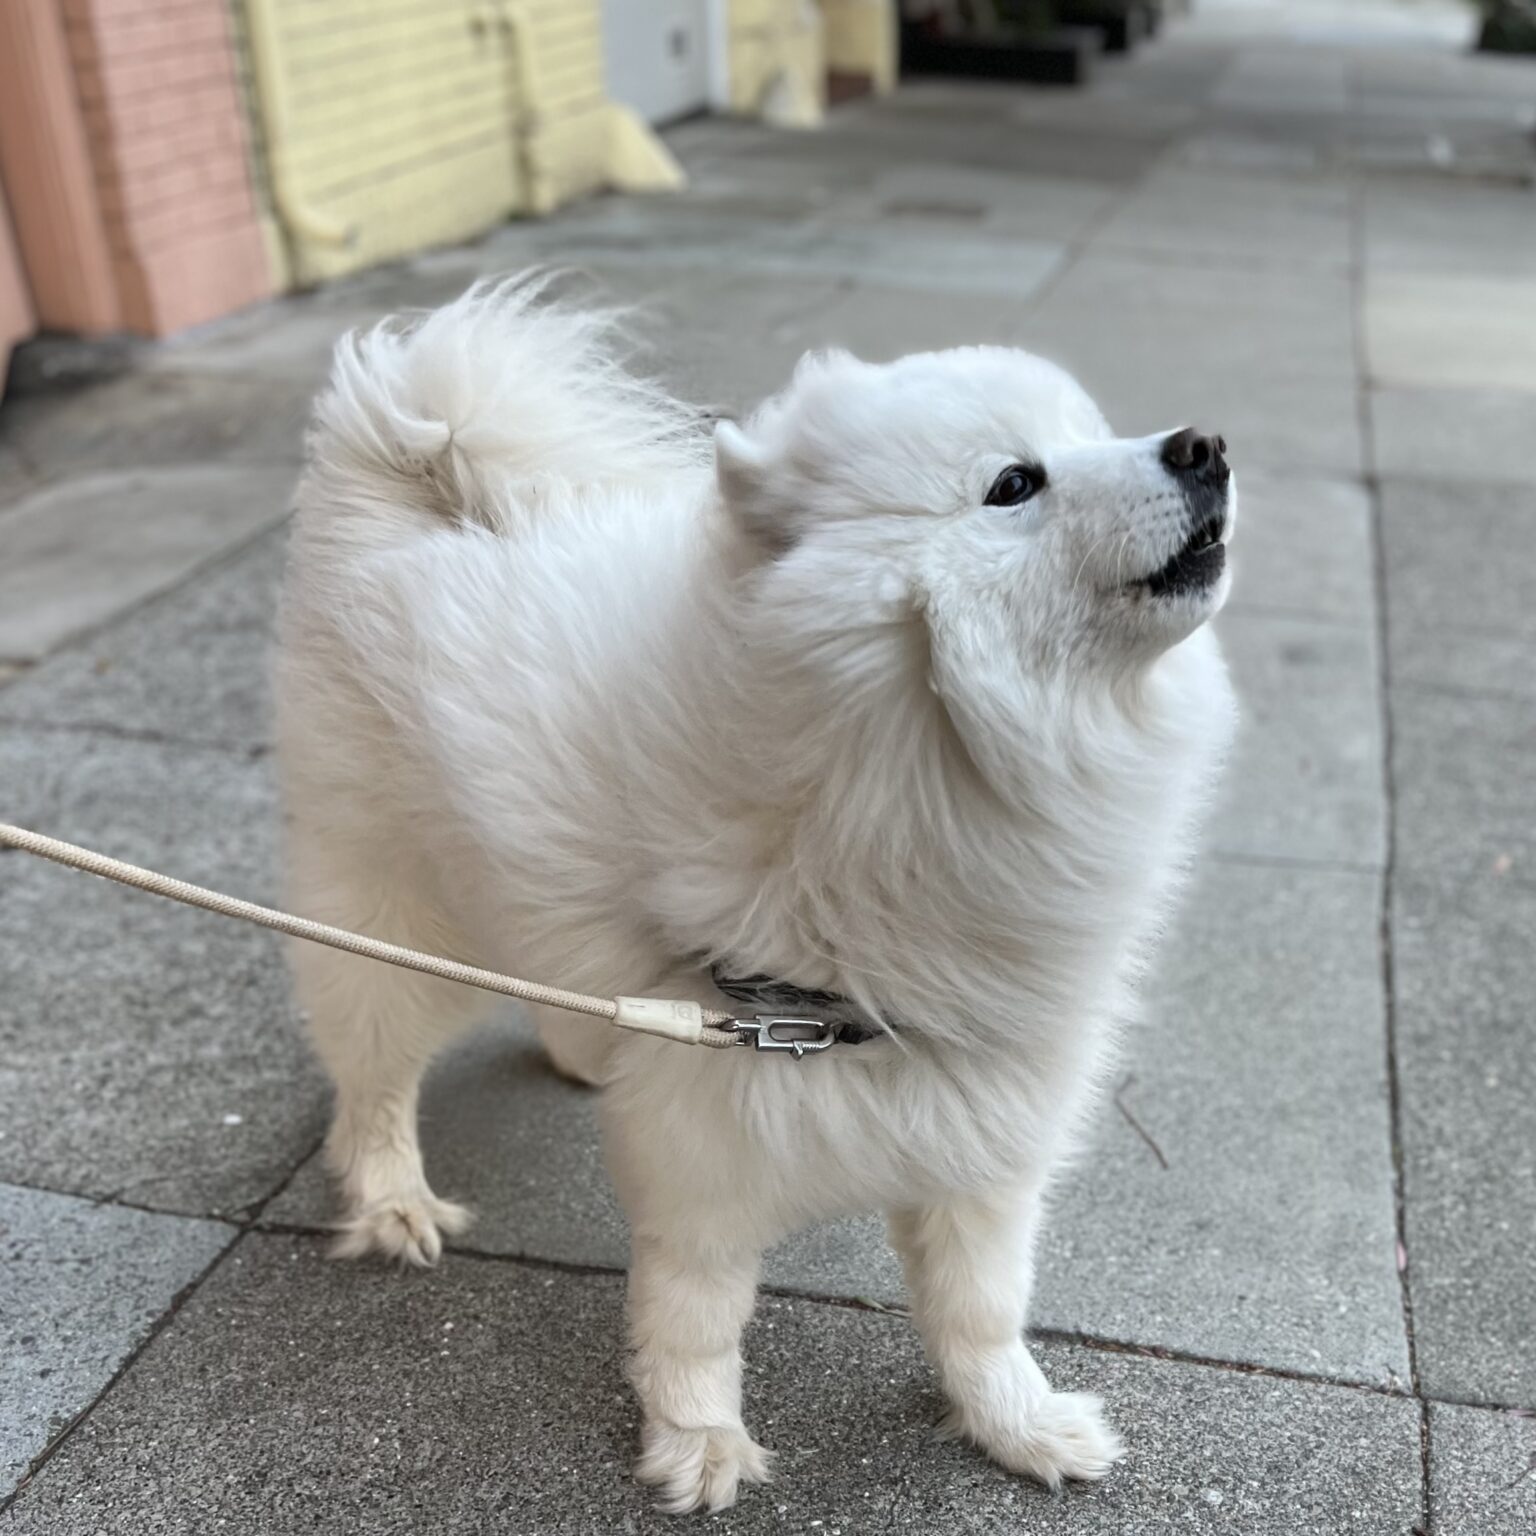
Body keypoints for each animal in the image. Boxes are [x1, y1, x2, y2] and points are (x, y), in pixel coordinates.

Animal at [276, 276, 1234, 1511]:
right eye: (1015, 483)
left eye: (1097, 430)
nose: (1205, 444)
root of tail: (410, 472)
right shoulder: (714, 1133)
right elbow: (695, 1314)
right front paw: (698, 1444)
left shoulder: (983, 1121)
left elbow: (980, 1310)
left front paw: (1016, 1427)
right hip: (392, 919)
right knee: (374, 1082)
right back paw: (393, 1199)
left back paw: (582, 1055)